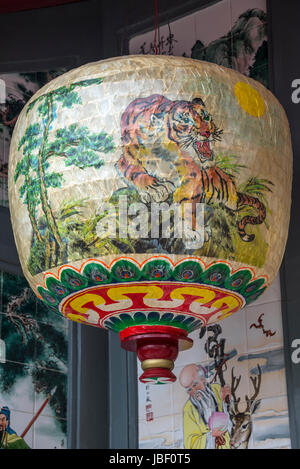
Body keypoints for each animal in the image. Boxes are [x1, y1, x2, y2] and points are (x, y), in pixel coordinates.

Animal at [116, 94, 266, 241]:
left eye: (206, 117)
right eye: (186, 121)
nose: (207, 132)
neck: (163, 154)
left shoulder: (193, 176)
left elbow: (188, 202)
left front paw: (194, 229)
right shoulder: (125, 159)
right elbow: (134, 172)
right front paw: (156, 188)